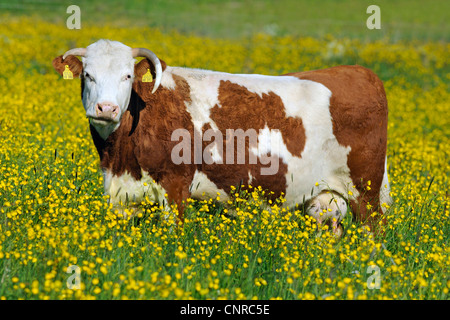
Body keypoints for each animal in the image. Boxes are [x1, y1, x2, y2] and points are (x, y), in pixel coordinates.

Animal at [51, 39, 390, 235]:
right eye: (87, 75)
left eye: (128, 75)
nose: (106, 108)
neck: (121, 155)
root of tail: (359, 71)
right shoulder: (121, 193)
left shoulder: (176, 185)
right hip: (325, 200)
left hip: (366, 192)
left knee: (373, 232)